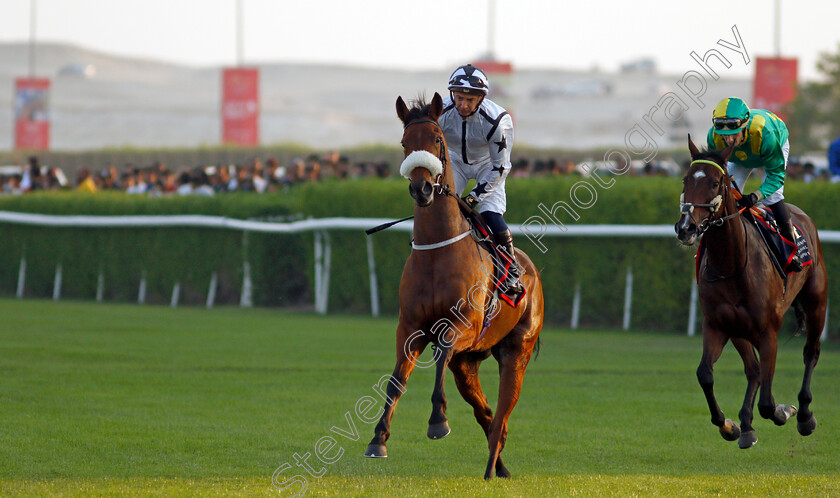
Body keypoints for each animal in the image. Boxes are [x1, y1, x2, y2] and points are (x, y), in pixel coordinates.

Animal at [360, 93, 544, 478]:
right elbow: (396, 380)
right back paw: (500, 468)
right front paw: (378, 439)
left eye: (436, 140)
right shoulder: (409, 327)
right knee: (486, 414)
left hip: (515, 352)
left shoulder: (464, 326)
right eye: (404, 143)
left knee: (501, 415)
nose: (422, 188)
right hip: (468, 363)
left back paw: (491, 470)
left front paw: (437, 421)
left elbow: (441, 351)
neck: (438, 250)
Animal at [676, 135, 828, 448]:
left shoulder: (768, 331)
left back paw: (804, 414)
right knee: (754, 370)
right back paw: (746, 425)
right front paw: (730, 426)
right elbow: (705, 374)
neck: (733, 263)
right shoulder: (719, 324)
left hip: (817, 301)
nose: (685, 228)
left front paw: (785, 411)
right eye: (685, 179)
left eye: (714, 182)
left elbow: (768, 404)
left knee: (811, 353)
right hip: (739, 329)